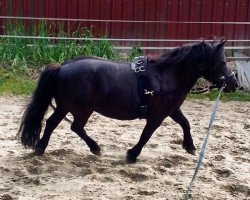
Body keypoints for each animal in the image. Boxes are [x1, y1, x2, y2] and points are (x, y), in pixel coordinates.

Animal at [18, 40, 238, 162]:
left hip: (65, 106)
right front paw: (132, 154)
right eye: (222, 62)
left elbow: (186, 123)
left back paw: (41, 148)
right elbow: (146, 135)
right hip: (81, 109)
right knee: (75, 127)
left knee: (52, 123)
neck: (166, 75)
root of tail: (62, 67)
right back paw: (95, 148)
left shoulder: (172, 110)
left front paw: (190, 147)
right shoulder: (157, 116)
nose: (234, 83)